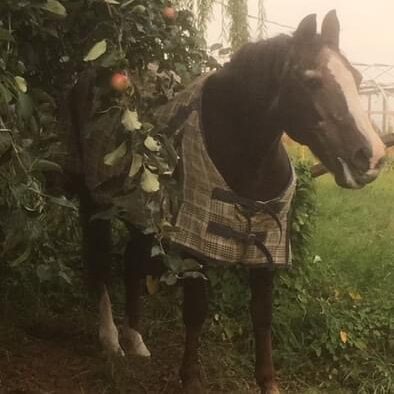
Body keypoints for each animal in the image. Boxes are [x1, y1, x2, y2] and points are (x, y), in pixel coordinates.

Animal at [67, 10, 384, 394]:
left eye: (356, 78)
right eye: (311, 80)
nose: (372, 157)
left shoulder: (267, 250)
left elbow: (262, 315)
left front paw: (268, 382)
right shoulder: (195, 248)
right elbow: (196, 313)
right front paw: (189, 379)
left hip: (142, 212)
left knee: (131, 264)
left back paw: (136, 342)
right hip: (95, 203)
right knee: (99, 264)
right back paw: (112, 340)